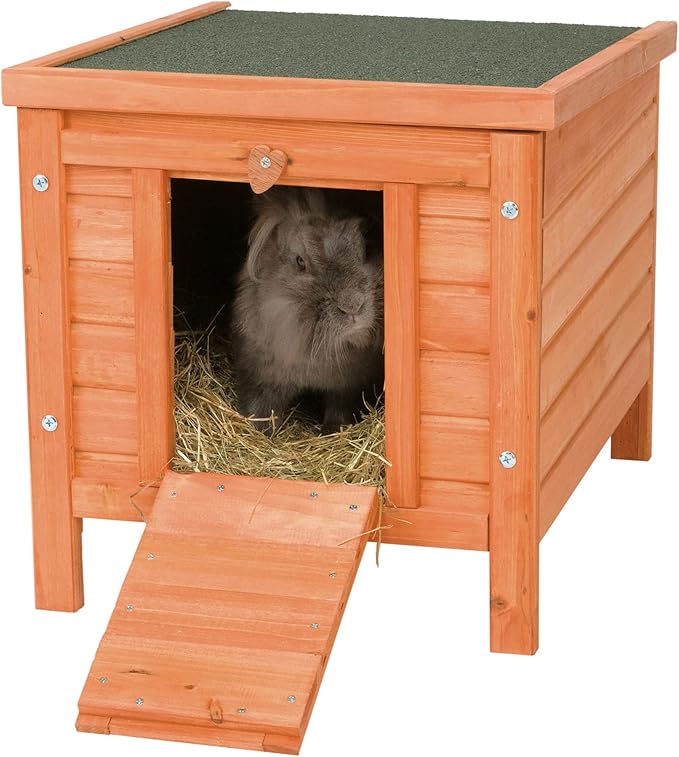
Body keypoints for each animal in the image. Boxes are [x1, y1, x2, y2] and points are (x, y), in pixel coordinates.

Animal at [230, 187, 384, 434]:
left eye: (366, 249)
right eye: (300, 261)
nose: (353, 305)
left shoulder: (347, 389)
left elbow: (339, 412)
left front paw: (332, 431)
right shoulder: (261, 378)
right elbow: (261, 408)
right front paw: (259, 431)